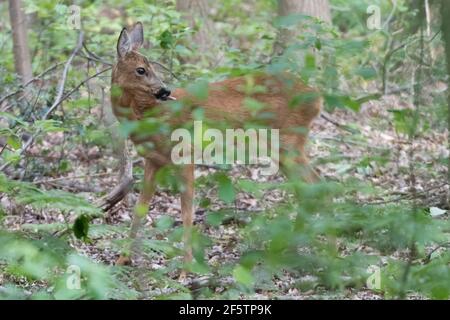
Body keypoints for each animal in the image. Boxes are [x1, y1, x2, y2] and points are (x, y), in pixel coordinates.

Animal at [110, 22, 322, 266]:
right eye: (141, 70)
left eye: (150, 67)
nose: (165, 91)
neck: (149, 115)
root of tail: (316, 97)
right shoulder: (154, 160)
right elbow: (140, 209)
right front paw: (121, 260)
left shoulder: (185, 154)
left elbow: (186, 213)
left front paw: (186, 268)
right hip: (283, 148)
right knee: (309, 189)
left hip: (289, 142)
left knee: (317, 185)